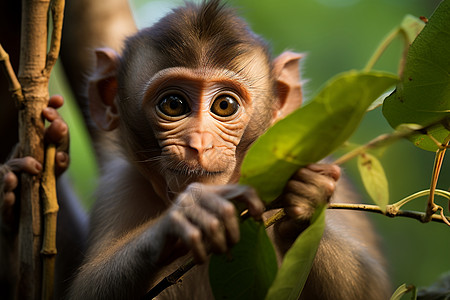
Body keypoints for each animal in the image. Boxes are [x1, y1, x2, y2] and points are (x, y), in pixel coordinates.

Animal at [63, 1, 390, 298]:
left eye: (224, 105)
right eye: (173, 104)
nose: (199, 143)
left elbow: (371, 286)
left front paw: (306, 197)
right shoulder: (121, 186)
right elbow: (85, 287)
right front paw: (186, 216)